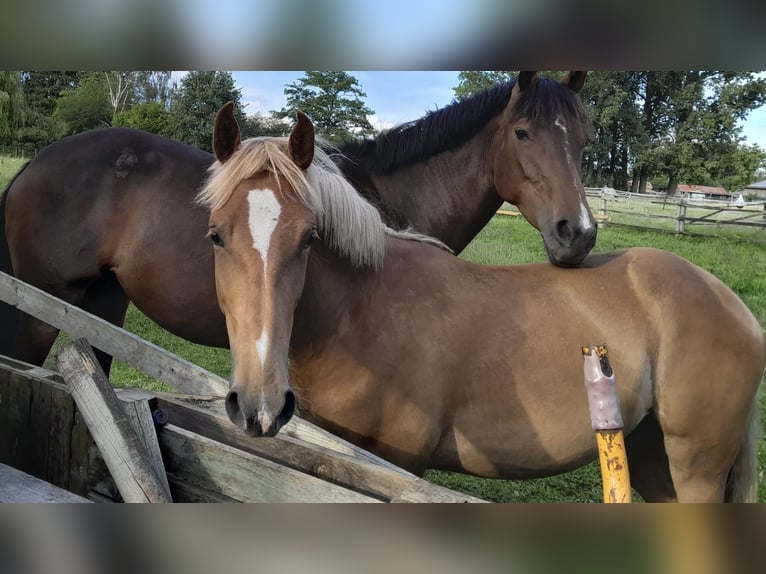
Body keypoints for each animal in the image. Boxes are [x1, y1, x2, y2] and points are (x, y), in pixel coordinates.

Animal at [0, 71, 595, 374]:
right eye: (522, 133)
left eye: (586, 137)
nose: (580, 233)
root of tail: (35, 163)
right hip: (41, 309)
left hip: (103, 306)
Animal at [198, 105, 765, 502]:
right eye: (215, 236)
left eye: (309, 239)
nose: (259, 405)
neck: (362, 310)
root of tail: (733, 304)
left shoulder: (401, 464)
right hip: (653, 459)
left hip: (695, 468)